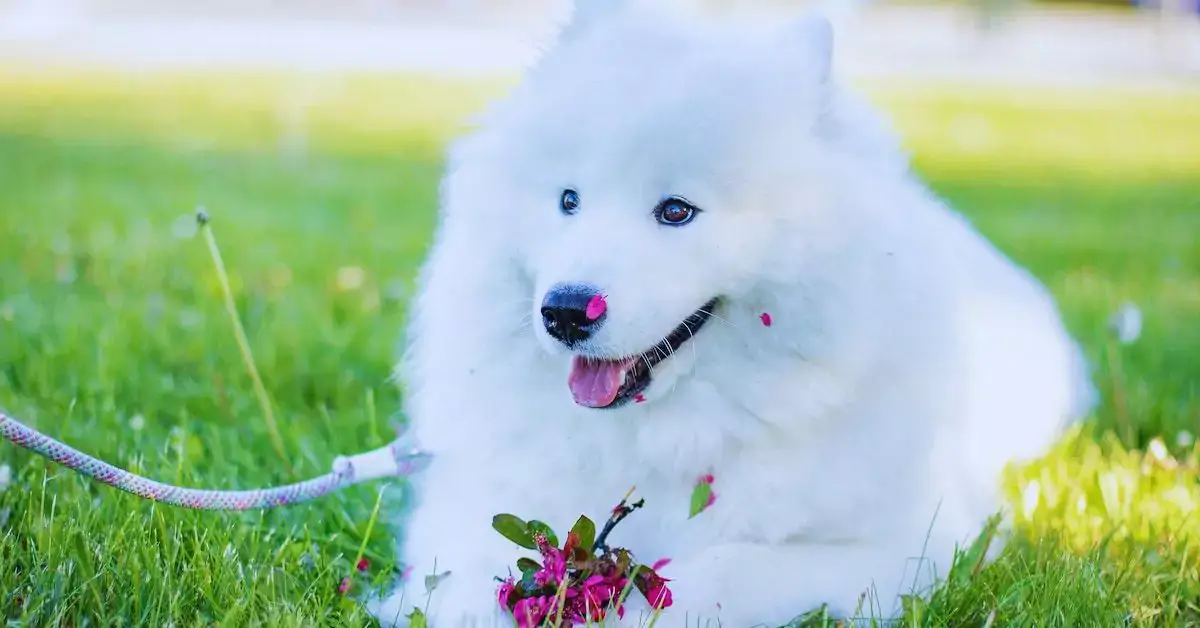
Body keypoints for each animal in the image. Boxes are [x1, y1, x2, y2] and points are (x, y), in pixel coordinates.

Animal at [369, 2, 1094, 624]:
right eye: (568, 200)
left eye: (676, 211)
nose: (566, 311)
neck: (661, 435)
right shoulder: (476, 500)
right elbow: (464, 572)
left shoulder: (904, 547)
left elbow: (719, 571)